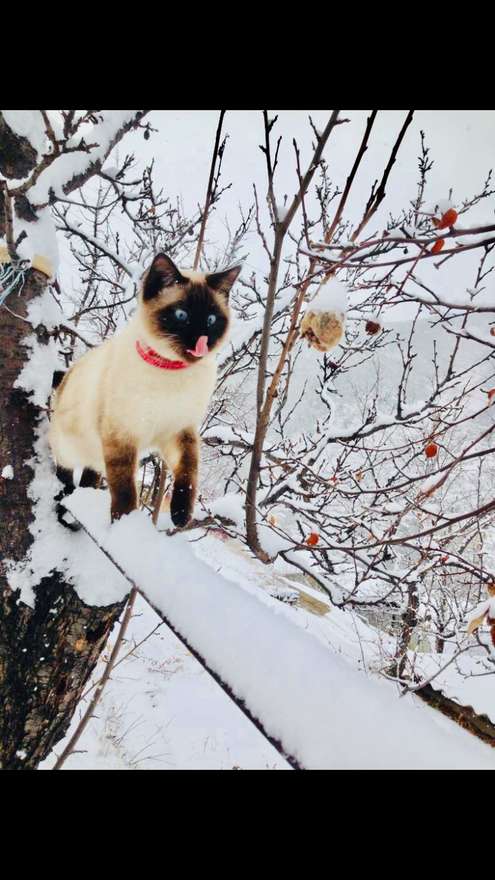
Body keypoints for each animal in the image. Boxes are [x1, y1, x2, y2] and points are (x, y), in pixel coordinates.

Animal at [50, 254, 242, 528]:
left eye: (212, 320)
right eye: (181, 314)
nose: (201, 342)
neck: (171, 372)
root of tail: (70, 372)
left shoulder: (179, 431)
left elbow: (188, 472)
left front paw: (180, 516)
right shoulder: (122, 436)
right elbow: (124, 490)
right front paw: (124, 522)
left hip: (97, 454)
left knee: (90, 475)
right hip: (71, 445)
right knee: (65, 472)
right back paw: (64, 501)